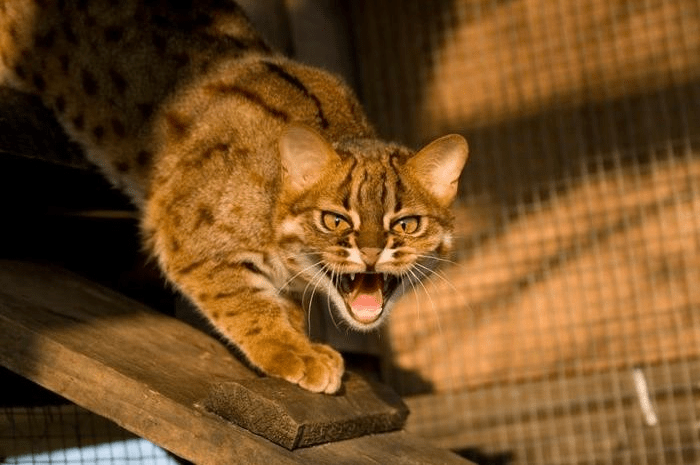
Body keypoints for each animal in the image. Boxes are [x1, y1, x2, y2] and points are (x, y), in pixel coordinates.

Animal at [1, 0, 470, 394]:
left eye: (406, 224)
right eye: (335, 220)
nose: (372, 254)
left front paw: (298, 333)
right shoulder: (183, 234)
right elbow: (244, 300)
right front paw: (293, 351)